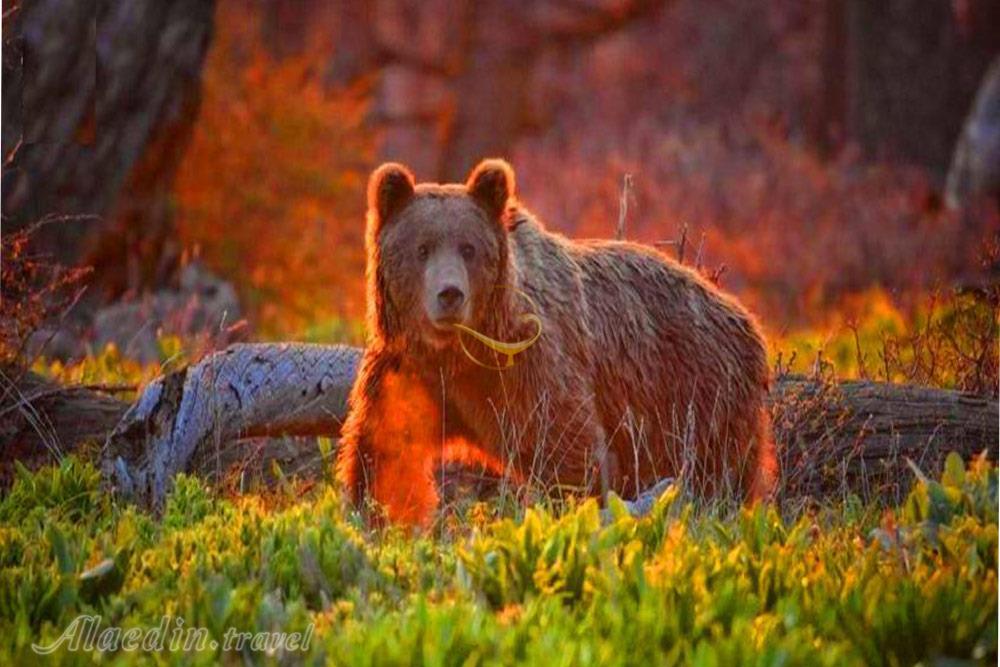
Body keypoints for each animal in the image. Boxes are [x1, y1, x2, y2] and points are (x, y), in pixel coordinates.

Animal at [334, 159, 772, 524]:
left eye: (468, 248)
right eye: (422, 248)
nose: (450, 294)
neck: (459, 353)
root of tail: (746, 318)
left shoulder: (528, 366)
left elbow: (566, 446)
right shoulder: (407, 370)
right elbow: (387, 451)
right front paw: (378, 515)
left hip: (695, 397)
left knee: (717, 476)